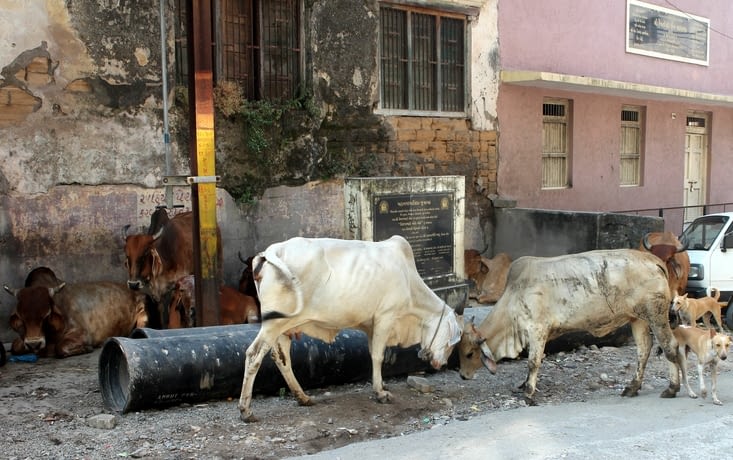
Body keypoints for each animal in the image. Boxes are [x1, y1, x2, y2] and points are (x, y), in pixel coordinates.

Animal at [3, 280, 148, 358]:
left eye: (46, 315)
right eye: (21, 317)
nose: (34, 344)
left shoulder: (82, 333)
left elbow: (60, 347)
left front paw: (87, 348)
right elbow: (15, 346)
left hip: (143, 315)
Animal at [237, 235, 463, 422]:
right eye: (453, 343)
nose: (442, 364)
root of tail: (271, 251)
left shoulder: (371, 325)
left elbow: (373, 353)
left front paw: (381, 385)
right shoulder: (386, 317)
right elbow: (378, 356)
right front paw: (380, 393)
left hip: (283, 327)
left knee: (282, 359)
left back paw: (303, 397)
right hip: (273, 325)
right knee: (253, 355)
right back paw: (246, 410)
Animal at [457, 249, 683, 404]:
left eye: (469, 354)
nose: (462, 375)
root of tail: (654, 260)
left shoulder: (537, 329)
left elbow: (533, 362)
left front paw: (528, 392)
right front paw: (524, 384)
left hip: (655, 315)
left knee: (669, 346)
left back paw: (672, 388)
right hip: (638, 319)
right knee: (643, 350)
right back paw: (632, 387)